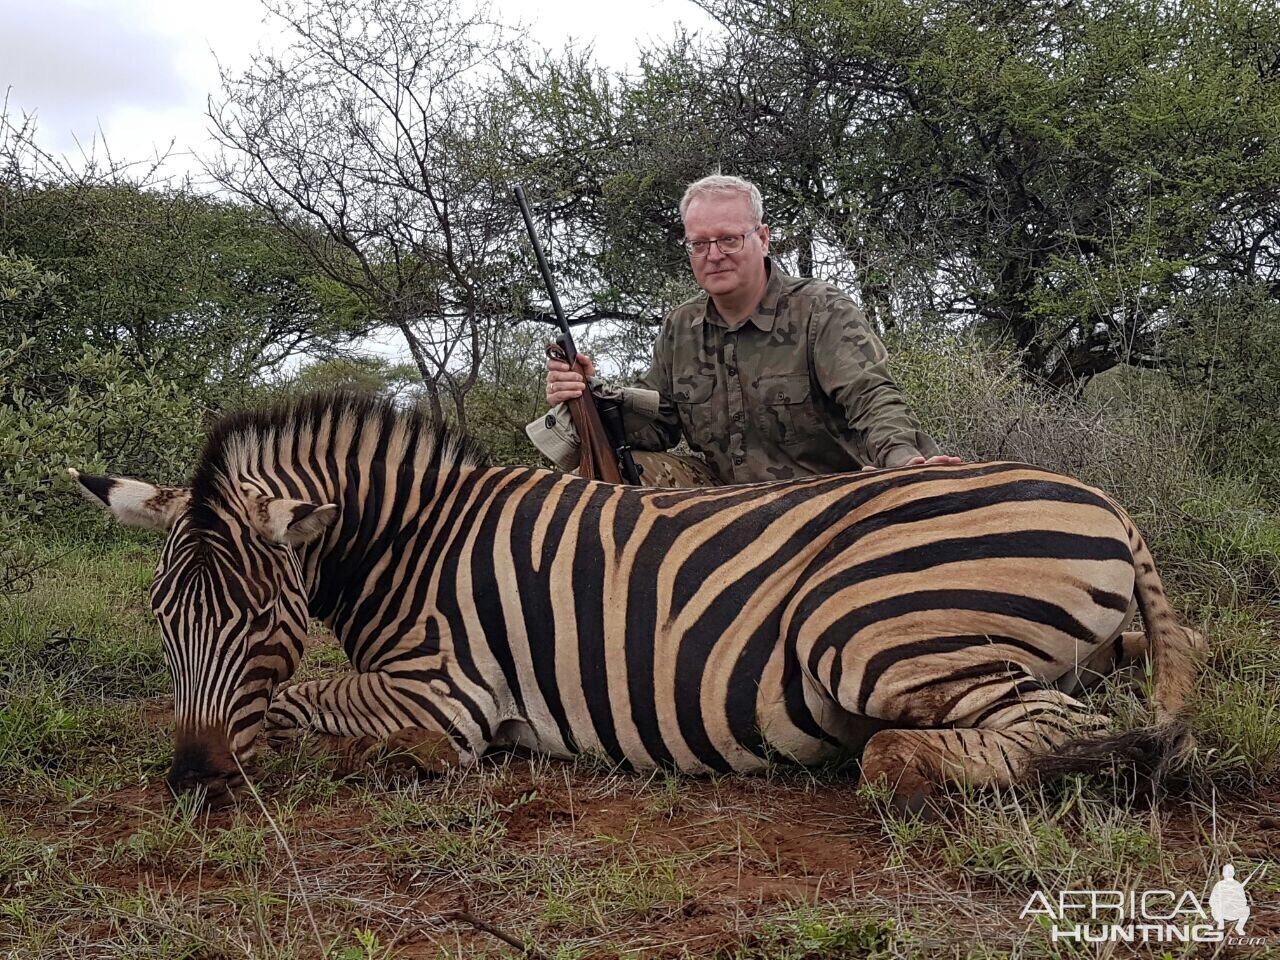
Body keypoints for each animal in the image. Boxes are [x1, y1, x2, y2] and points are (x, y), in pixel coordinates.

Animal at [74, 391, 1203, 814]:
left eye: (262, 620)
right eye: (162, 620)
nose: (192, 778)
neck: (411, 537)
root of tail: (1106, 501)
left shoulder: (444, 693)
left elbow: (298, 701)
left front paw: (327, 745)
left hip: (862, 629)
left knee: (1040, 729)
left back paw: (900, 758)